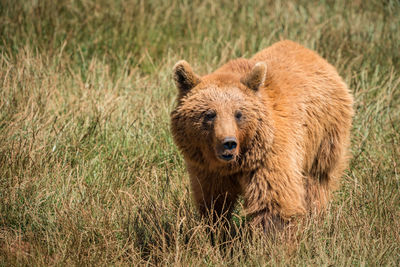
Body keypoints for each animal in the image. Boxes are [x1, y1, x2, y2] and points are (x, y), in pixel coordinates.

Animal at [170, 40, 352, 231]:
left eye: (238, 114)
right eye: (209, 114)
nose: (229, 143)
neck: (237, 163)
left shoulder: (267, 156)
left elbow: (273, 203)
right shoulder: (208, 169)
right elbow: (214, 202)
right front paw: (218, 231)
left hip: (324, 136)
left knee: (317, 181)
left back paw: (315, 218)